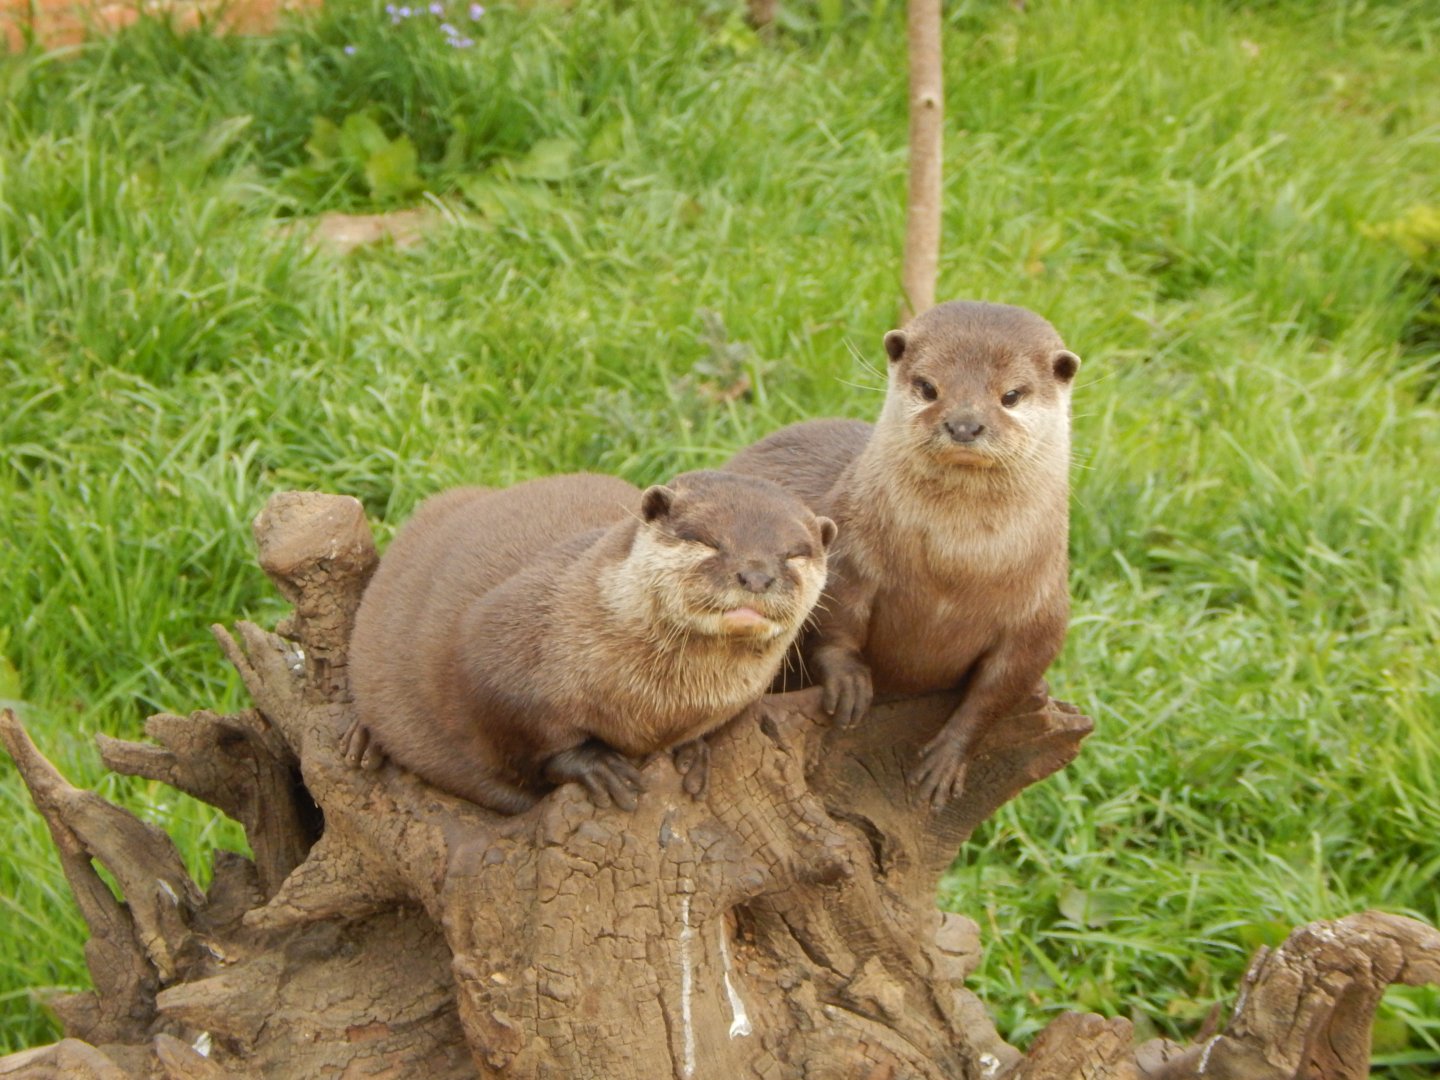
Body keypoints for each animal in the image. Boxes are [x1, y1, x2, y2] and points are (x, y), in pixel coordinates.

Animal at [347, 471, 836, 814]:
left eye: (794, 553)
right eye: (706, 540)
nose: (756, 574)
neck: (659, 701)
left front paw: (694, 754)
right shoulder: (491, 654)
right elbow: (518, 742)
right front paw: (596, 766)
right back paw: (364, 743)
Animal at [726, 301, 1079, 807]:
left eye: (1011, 395)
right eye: (929, 387)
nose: (965, 424)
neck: (955, 570)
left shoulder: (1040, 615)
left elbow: (1000, 690)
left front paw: (947, 758)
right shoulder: (849, 557)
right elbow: (833, 620)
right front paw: (849, 683)